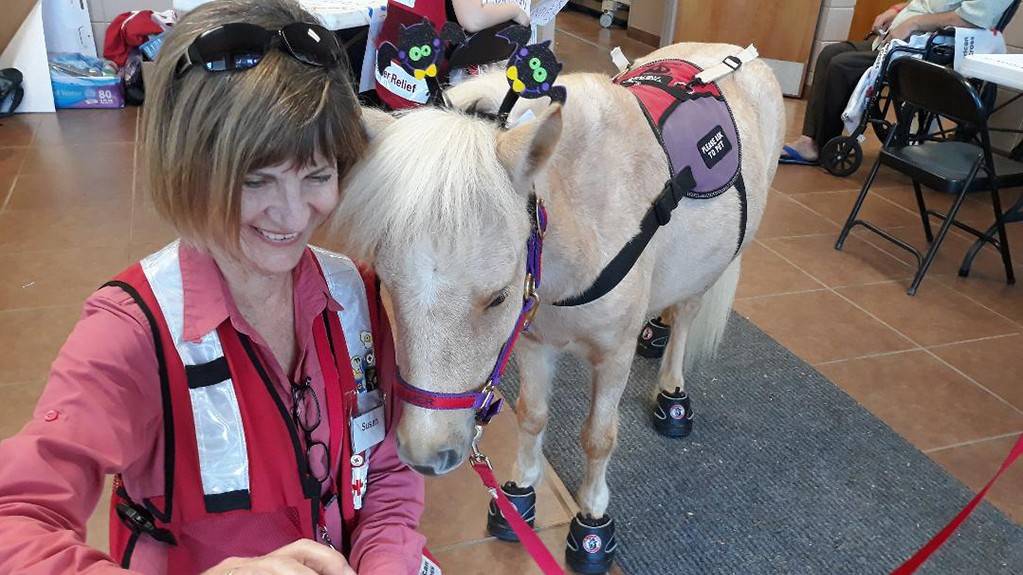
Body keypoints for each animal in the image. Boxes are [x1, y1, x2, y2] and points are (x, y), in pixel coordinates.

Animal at [333, 41, 784, 570]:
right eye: (388, 284)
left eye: (498, 297)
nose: (425, 454)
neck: (583, 215)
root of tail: (732, 53)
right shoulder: (533, 339)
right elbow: (532, 414)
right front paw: (520, 492)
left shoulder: (612, 355)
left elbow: (598, 437)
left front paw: (592, 518)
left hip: (713, 265)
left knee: (689, 311)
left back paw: (672, 390)